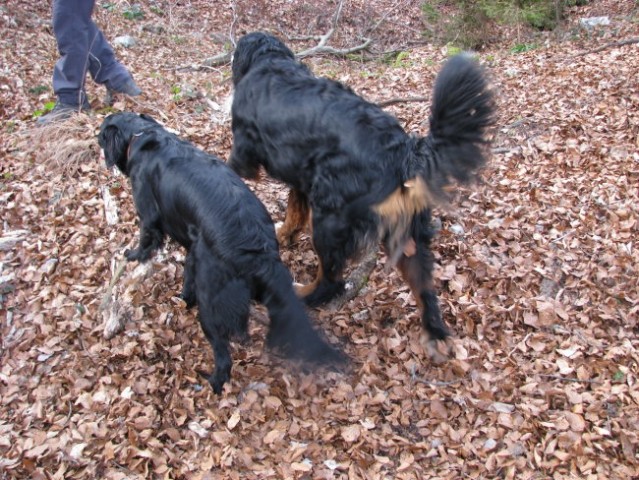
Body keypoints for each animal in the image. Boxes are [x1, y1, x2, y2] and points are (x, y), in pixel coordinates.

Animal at [98, 111, 344, 394]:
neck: (141, 135)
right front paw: (184, 297)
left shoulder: (148, 215)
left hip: (212, 305)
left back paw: (212, 382)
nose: (97, 139)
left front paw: (133, 255)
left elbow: (146, 240)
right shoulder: (196, 247)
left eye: (101, 133)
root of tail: (259, 252)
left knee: (223, 354)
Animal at [228, 31, 498, 352]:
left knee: (331, 282)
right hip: (408, 233)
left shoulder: (244, 150)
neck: (269, 60)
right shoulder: (301, 175)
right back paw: (435, 332)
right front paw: (285, 233)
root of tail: (403, 151)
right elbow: (294, 209)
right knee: (424, 287)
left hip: (330, 221)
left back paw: (305, 295)